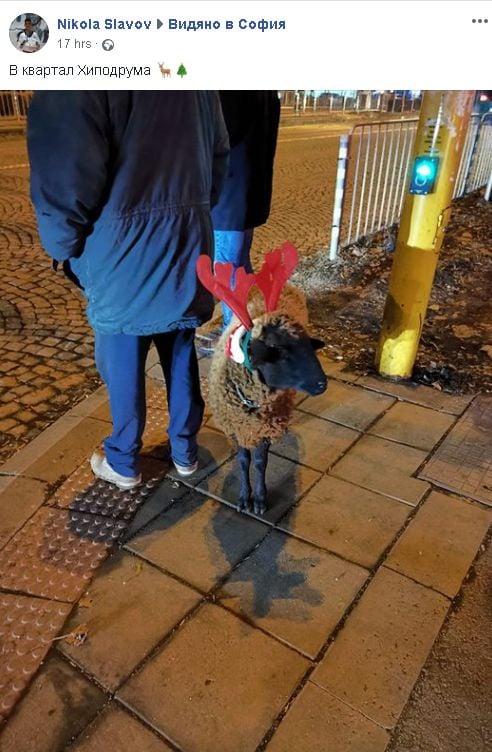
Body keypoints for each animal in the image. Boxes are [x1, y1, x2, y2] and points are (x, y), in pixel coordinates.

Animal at [196, 244, 326, 516]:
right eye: (281, 352)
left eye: (309, 347)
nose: (322, 384)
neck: (250, 404)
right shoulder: (236, 426)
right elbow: (244, 460)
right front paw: (243, 498)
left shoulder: (264, 428)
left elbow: (259, 462)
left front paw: (259, 499)